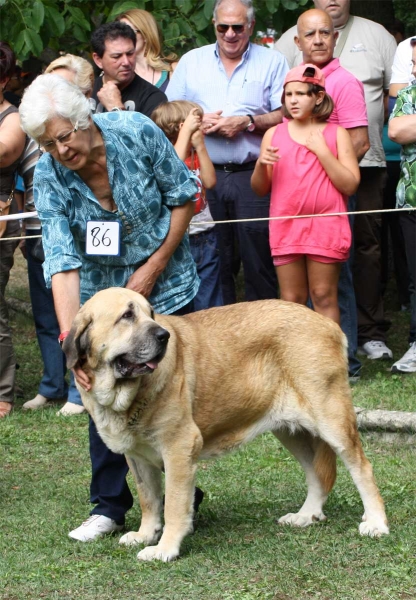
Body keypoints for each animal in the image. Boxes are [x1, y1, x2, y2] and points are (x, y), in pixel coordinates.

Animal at [63, 288, 388, 560]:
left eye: (151, 313)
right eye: (127, 316)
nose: (164, 336)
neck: (127, 394)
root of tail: (328, 323)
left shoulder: (179, 449)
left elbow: (174, 505)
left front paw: (165, 549)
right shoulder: (138, 456)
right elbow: (149, 499)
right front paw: (145, 535)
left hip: (331, 419)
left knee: (362, 468)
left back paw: (376, 522)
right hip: (289, 431)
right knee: (317, 474)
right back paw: (306, 515)